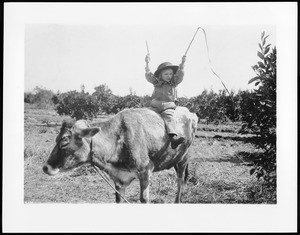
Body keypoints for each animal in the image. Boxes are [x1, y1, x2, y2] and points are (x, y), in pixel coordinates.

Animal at [42, 107, 197, 204]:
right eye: (56, 139)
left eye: (64, 142)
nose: (45, 167)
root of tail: (190, 113)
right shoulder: (119, 180)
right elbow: (119, 200)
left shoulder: (145, 171)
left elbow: (144, 199)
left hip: (184, 159)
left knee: (180, 182)